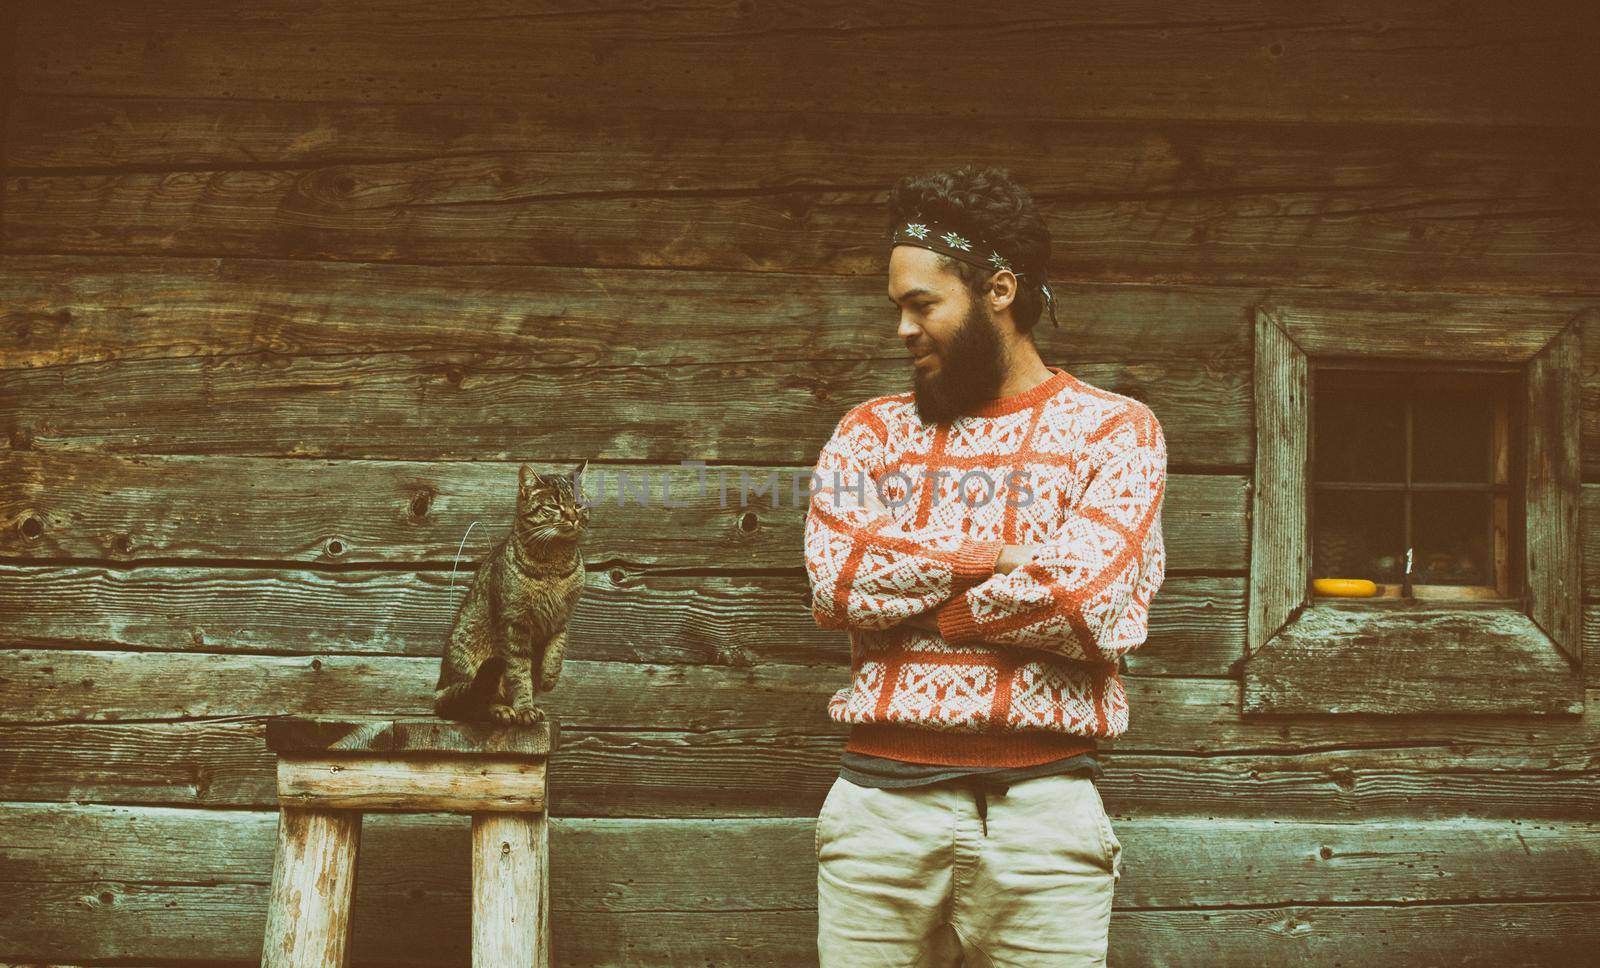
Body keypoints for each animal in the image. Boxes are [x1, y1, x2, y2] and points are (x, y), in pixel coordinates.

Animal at [435, 464, 592, 723]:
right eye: (554, 506)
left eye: (578, 505)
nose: (573, 516)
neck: (554, 565)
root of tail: (440, 688)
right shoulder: (514, 624)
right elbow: (519, 673)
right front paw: (525, 708)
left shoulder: (562, 619)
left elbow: (556, 651)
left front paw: (549, 678)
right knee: (472, 703)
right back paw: (500, 709)